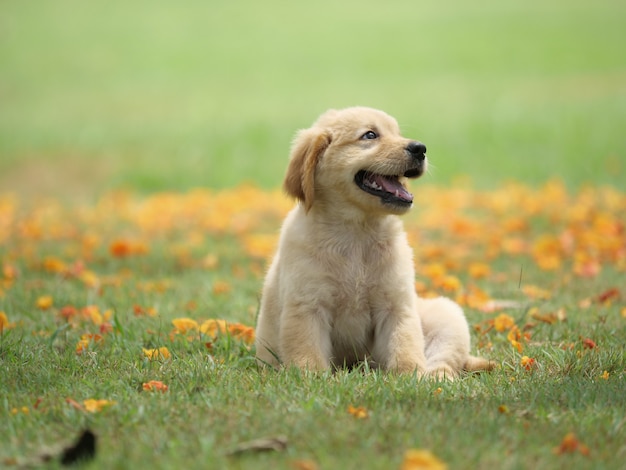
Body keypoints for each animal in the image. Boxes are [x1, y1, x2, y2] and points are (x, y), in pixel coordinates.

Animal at [254, 106, 492, 378]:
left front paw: (411, 378)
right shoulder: (306, 306)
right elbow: (308, 355)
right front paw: (313, 379)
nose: (420, 149)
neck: (357, 232)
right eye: (370, 135)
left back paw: (438, 379)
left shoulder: (397, 306)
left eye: (397, 133)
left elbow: (405, 347)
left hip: (447, 315)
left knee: (444, 361)